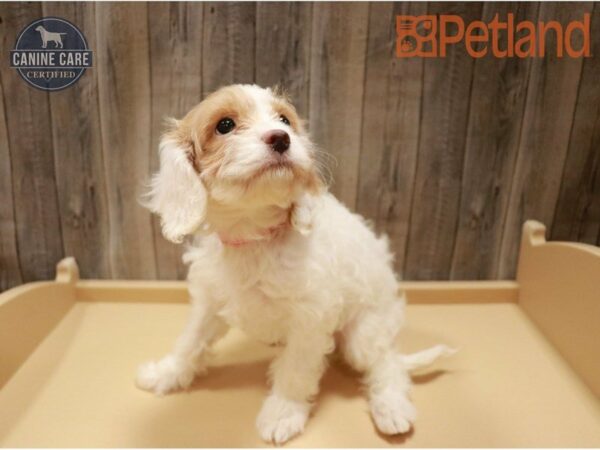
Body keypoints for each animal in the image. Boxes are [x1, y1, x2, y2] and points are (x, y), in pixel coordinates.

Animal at [136, 83, 452, 442]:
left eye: (284, 120)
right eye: (225, 125)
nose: (281, 138)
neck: (255, 238)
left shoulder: (310, 320)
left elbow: (295, 370)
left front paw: (282, 412)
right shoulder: (210, 302)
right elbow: (190, 342)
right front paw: (166, 373)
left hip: (365, 333)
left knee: (388, 363)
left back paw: (391, 406)